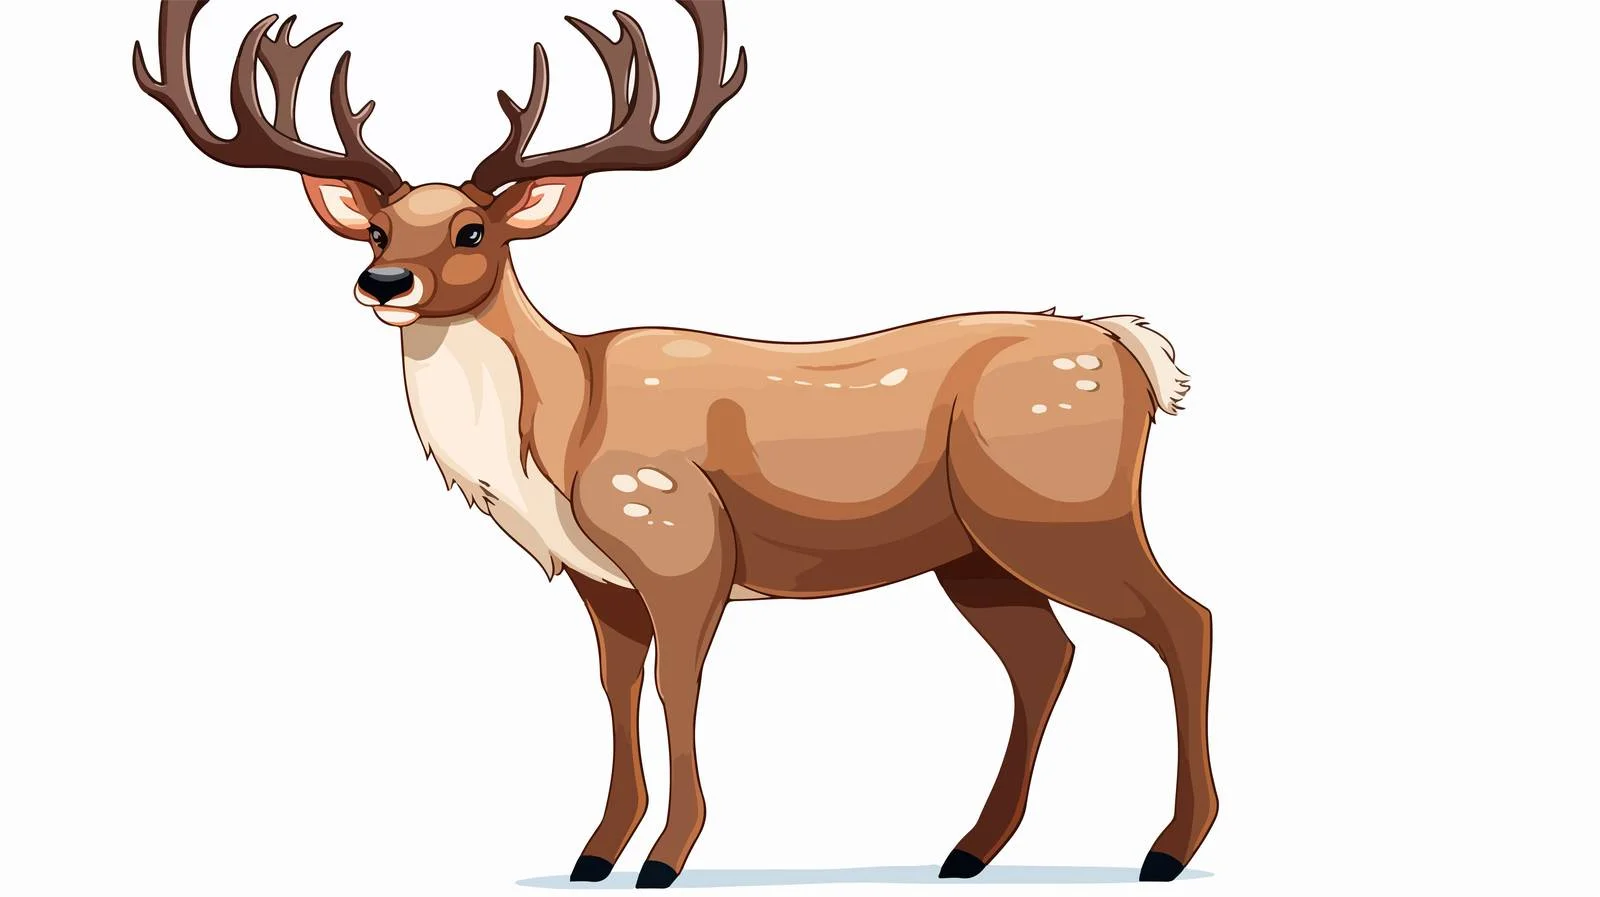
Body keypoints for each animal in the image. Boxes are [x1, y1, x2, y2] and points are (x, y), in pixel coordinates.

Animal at [132, 0, 1217, 888]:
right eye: (377, 230)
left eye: (476, 230)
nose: (383, 284)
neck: (559, 437)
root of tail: (1130, 350)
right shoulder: (600, 579)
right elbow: (615, 689)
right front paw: (594, 851)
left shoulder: (680, 537)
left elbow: (676, 686)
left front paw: (665, 857)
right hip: (974, 551)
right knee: (1047, 655)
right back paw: (969, 849)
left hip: (1059, 507)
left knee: (1185, 618)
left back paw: (1166, 847)